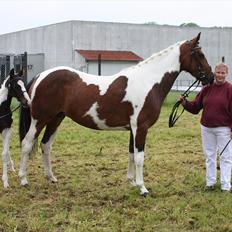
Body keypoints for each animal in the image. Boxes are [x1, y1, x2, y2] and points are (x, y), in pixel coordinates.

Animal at [18, 33, 214, 195]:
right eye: (200, 54)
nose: (211, 77)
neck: (148, 82)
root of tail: (40, 76)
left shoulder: (133, 129)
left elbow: (131, 154)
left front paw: (132, 182)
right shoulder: (140, 127)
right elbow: (140, 157)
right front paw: (143, 188)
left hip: (56, 119)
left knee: (45, 145)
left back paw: (51, 178)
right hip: (39, 119)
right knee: (27, 144)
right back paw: (23, 180)